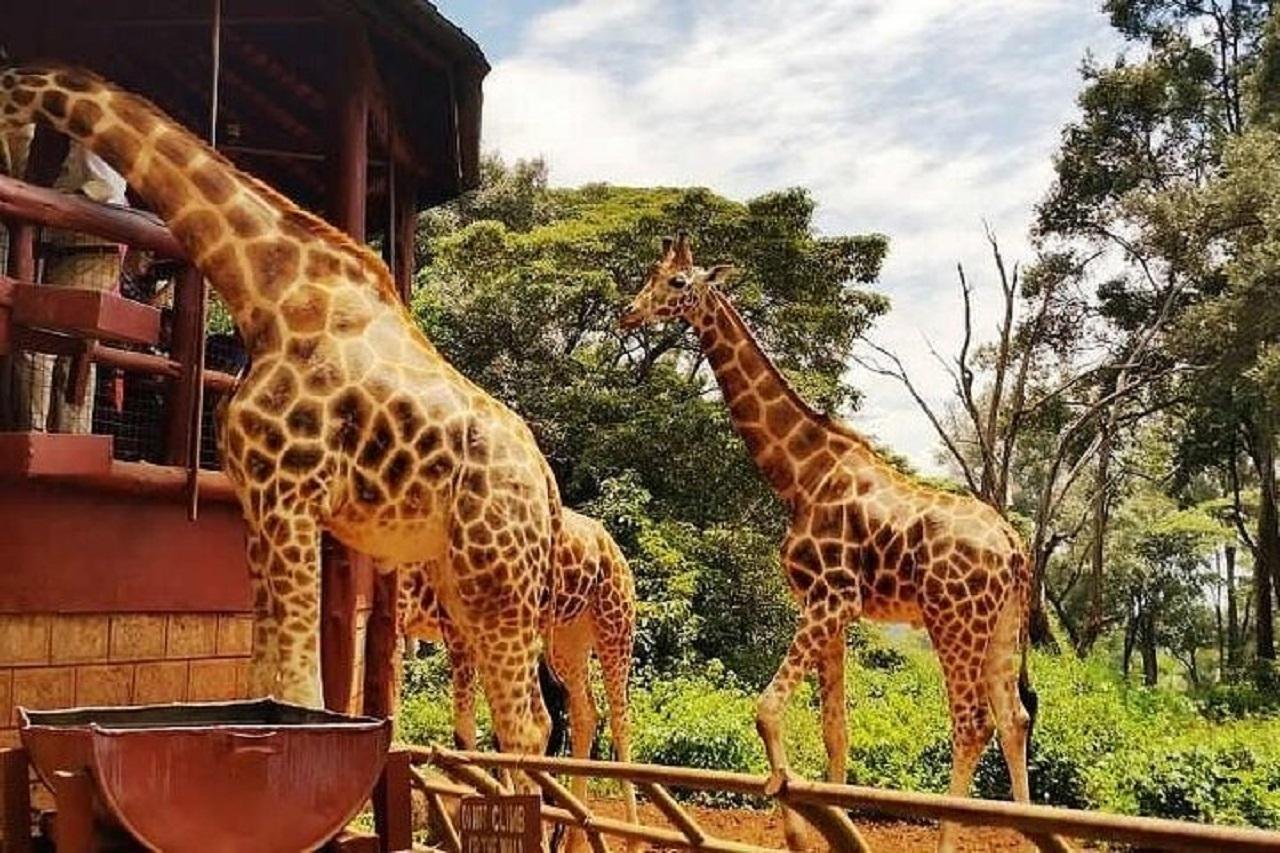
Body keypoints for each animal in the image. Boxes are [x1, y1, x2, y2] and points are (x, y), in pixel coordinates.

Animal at [0, 63, 562, 762]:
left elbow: (299, 687)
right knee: (524, 711)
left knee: (528, 719)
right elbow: (264, 677)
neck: (268, 293)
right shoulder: (258, 502)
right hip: (459, 572)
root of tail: (546, 484)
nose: (12, 168)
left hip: (496, 572)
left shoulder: (291, 497)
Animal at [399, 507, 638, 852]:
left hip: (614, 620)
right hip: (569, 638)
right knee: (584, 713)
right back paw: (576, 838)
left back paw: (630, 838)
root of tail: (611, 544)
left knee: (618, 720)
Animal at [620, 233, 1037, 852]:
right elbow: (835, 728)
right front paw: (839, 821)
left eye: (677, 282)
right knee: (1014, 719)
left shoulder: (828, 598)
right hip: (1003, 623)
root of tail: (1014, 547)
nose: (628, 312)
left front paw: (797, 829)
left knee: (973, 724)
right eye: (650, 274)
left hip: (954, 619)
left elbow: (767, 709)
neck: (800, 476)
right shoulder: (835, 610)